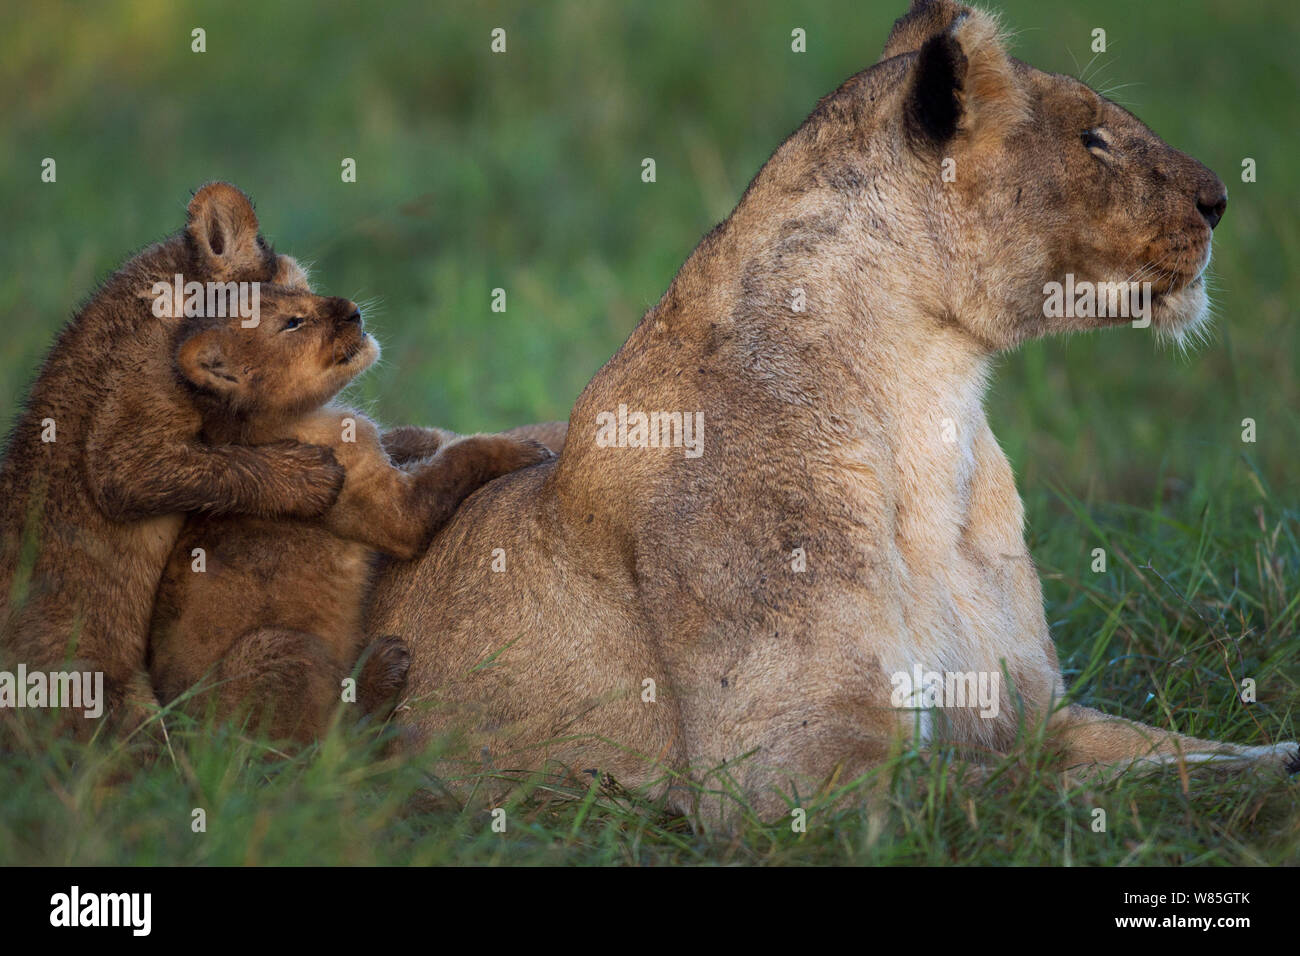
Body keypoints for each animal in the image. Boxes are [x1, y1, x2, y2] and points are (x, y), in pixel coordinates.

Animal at [367, 0, 1298, 823]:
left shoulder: (1033, 714)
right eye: (1092, 140)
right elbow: (1051, 790)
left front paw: (1272, 758)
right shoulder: (794, 773)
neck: (933, 412)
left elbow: (1167, 753)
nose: (1221, 199)